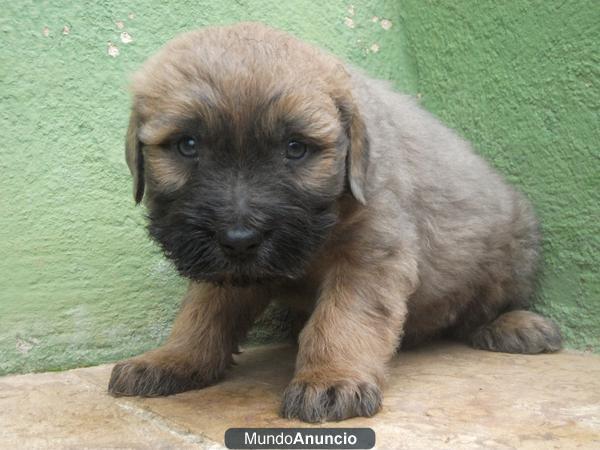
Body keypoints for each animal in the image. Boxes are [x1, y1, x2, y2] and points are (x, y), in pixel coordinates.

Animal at [109, 21, 564, 422]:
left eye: (296, 148)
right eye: (187, 145)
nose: (239, 238)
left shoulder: (371, 255)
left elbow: (342, 319)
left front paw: (330, 379)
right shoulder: (222, 266)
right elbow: (202, 312)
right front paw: (173, 358)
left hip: (513, 249)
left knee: (481, 308)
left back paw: (510, 324)